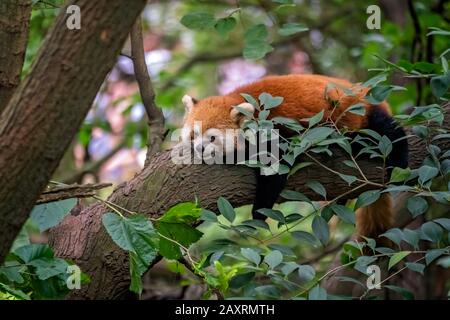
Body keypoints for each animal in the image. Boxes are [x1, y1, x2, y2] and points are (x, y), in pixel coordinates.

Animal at [181, 74, 410, 240]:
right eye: (194, 135)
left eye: (212, 137)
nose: (200, 148)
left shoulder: (275, 129)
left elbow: (274, 171)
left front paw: (259, 212)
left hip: (360, 114)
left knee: (386, 131)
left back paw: (399, 158)